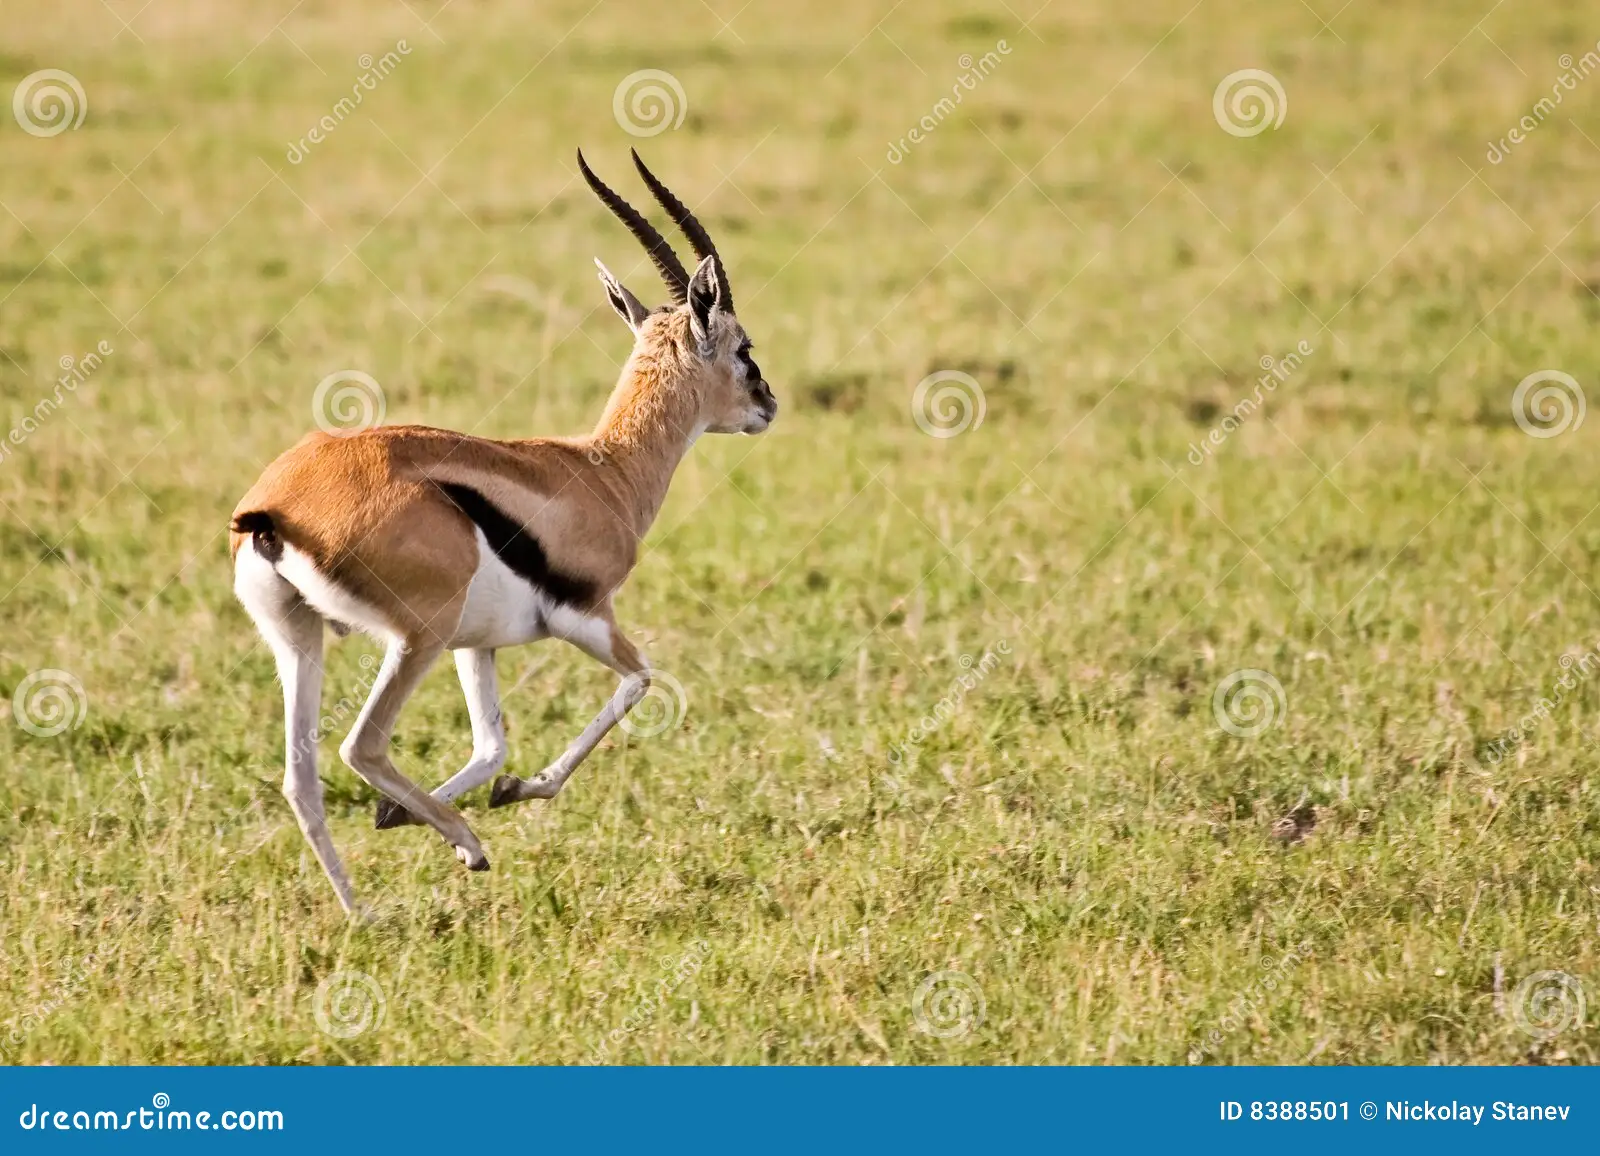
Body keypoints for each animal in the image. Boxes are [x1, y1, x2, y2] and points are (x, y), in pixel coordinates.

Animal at [229, 151, 777, 914]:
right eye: (744, 346)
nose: (768, 404)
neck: (605, 469)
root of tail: (273, 509)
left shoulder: (478, 644)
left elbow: (491, 746)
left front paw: (406, 810)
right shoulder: (587, 617)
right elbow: (641, 683)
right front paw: (514, 794)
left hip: (301, 641)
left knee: (301, 778)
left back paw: (361, 911)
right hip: (415, 639)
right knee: (361, 748)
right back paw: (467, 846)